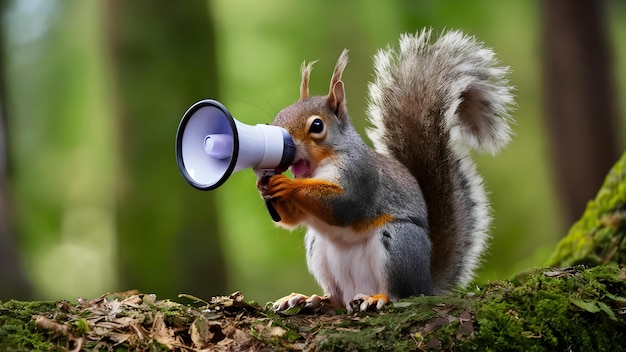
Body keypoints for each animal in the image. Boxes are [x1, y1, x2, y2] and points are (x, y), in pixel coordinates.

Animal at [255, 28, 512, 312]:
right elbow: (292, 220)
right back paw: (308, 298)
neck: (320, 165)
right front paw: (267, 187)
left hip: (398, 243)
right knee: (337, 298)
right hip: (318, 248)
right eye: (280, 115)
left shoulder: (360, 174)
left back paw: (379, 297)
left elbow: (341, 205)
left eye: (317, 125)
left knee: (400, 292)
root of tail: (426, 283)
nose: (281, 141)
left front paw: (287, 185)